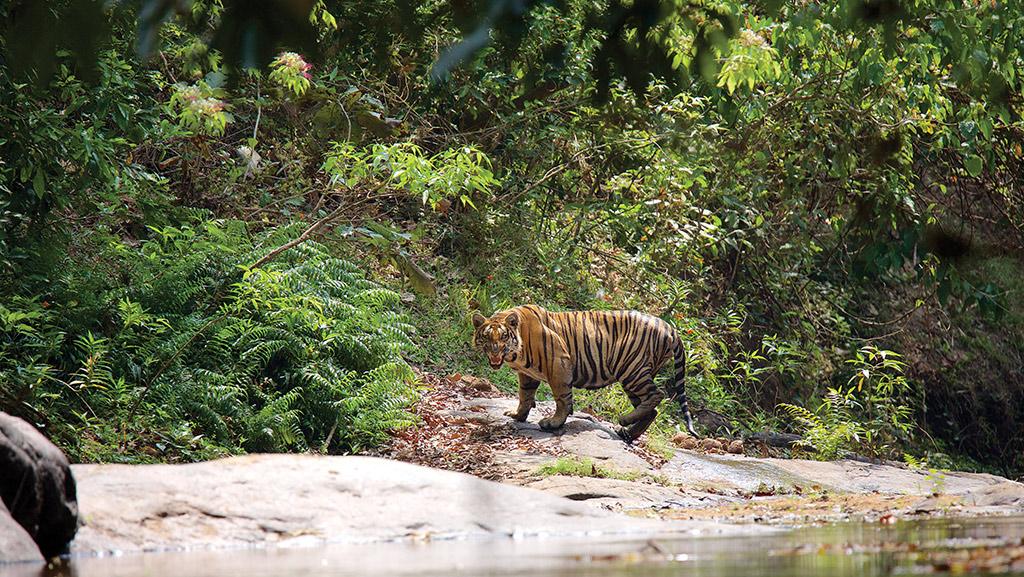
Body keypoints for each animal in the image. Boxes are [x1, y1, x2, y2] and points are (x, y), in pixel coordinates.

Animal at [468, 305, 696, 444]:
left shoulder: (559, 363)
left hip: (632, 370)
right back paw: (627, 433)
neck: (516, 353)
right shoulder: (527, 375)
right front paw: (518, 415)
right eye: (486, 338)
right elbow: (525, 395)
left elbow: (562, 399)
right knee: (652, 410)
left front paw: (553, 422)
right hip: (635, 376)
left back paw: (623, 420)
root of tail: (671, 329)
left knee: (657, 395)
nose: (495, 352)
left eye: (503, 337)